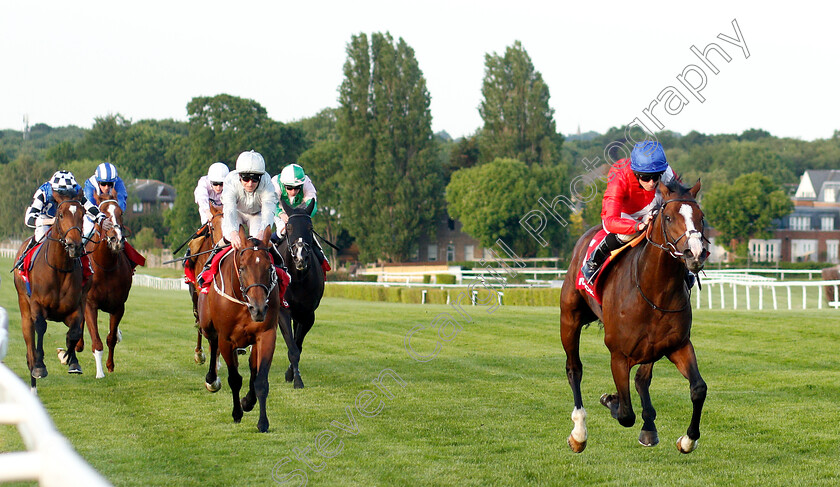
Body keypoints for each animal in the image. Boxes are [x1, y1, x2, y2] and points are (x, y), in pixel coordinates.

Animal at [13, 191, 88, 388]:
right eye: (60, 215)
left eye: (83, 214)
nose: (74, 245)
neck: (59, 268)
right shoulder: (37, 305)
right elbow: (41, 326)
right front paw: (40, 367)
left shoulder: (75, 307)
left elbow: (75, 332)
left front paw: (70, 359)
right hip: (24, 307)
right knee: (29, 346)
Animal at [78, 193, 133, 380]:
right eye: (103, 213)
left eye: (120, 212)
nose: (116, 239)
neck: (105, 266)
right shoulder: (90, 304)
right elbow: (96, 341)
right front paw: (100, 372)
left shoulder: (118, 307)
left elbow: (111, 338)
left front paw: (109, 366)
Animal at [197, 227, 298, 432]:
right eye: (242, 268)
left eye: (269, 268)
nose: (258, 309)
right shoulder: (226, 339)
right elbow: (235, 379)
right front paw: (237, 413)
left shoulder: (266, 335)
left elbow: (260, 380)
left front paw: (261, 419)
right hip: (207, 325)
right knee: (212, 342)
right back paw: (212, 379)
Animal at [560, 181, 712, 456]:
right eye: (668, 217)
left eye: (701, 217)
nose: (695, 254)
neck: (655, 290)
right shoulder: (618, 355)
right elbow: (626, 414)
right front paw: (612, 400)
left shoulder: (678, 345)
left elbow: (698, 389)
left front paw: (688, 439)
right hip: (569, 318)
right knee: (574, 369)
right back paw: (579, 433)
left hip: (652, 347)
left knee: (643, 379)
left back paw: (649, 426)